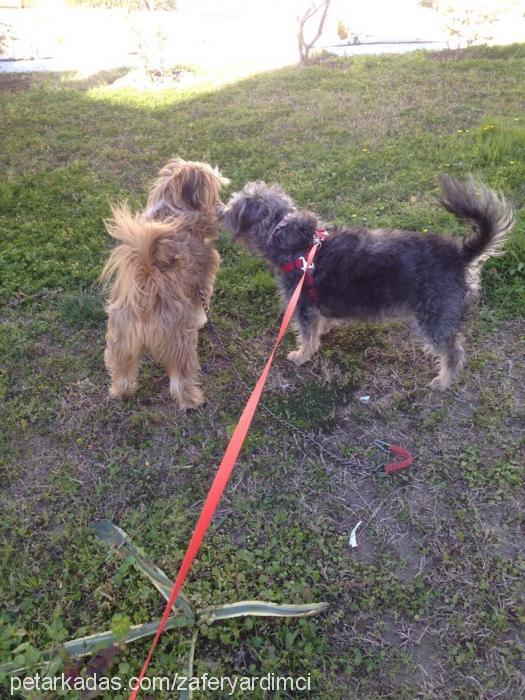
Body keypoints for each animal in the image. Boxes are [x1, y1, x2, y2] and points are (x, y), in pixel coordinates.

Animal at [99, 157, 228, 410]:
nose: (222, 208)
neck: (172, 208)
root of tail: (146, 281)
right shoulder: (202, 282)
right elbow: (201, 306)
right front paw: (203, 320)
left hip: (121, 339)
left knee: (122, 371)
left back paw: (121, 392)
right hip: (179, 339)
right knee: (179, 378)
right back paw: (192, 400)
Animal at [218, 175, 512, 392]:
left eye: (234, 207)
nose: (220, 211)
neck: (290, 236)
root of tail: (460, 255)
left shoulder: (301, 306)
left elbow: (307, 334)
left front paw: (301, 355)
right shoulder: (315, 304)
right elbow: (319, 324)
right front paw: (322, 333)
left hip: (435, 317)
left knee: (454, 352)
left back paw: (443, 381)